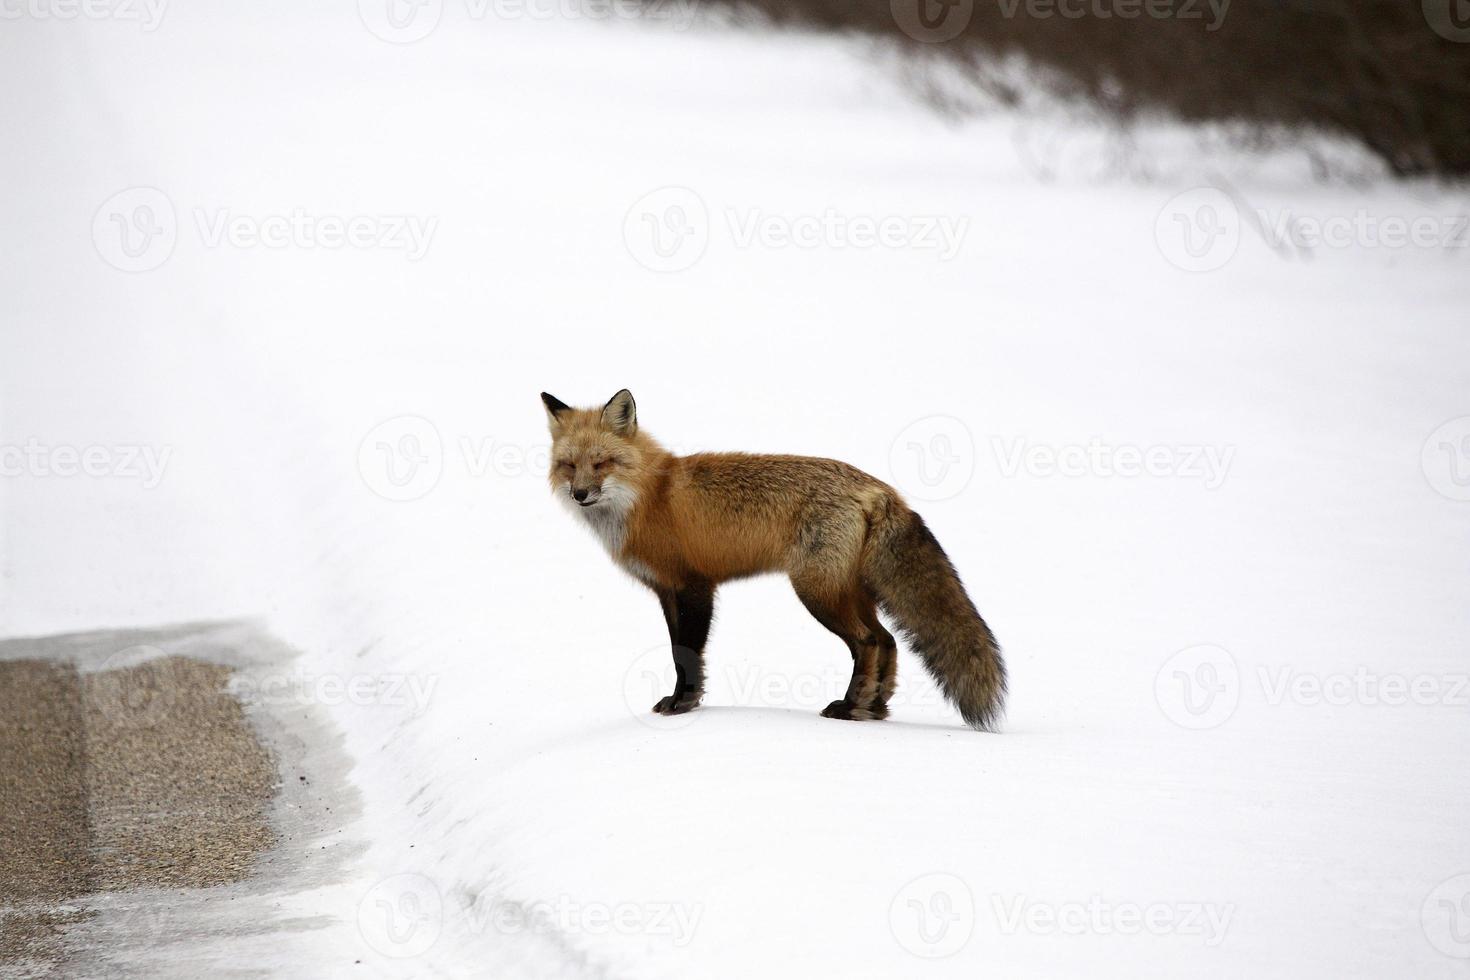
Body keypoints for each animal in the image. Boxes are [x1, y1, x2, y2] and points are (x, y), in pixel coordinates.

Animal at [543, 387, 1011, 731]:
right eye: (569, 465)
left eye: (602, 463)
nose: (579, 494)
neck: (647, 497)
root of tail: (879, 488)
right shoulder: (666, 591)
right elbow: (680, 650)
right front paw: (684, 701)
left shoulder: (694, 586)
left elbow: (686, 653)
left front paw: (684, 704)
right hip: (848, 591)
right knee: (889, 641)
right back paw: (874, 707)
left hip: (817, 593)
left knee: (869, 642)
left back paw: (850, 708)